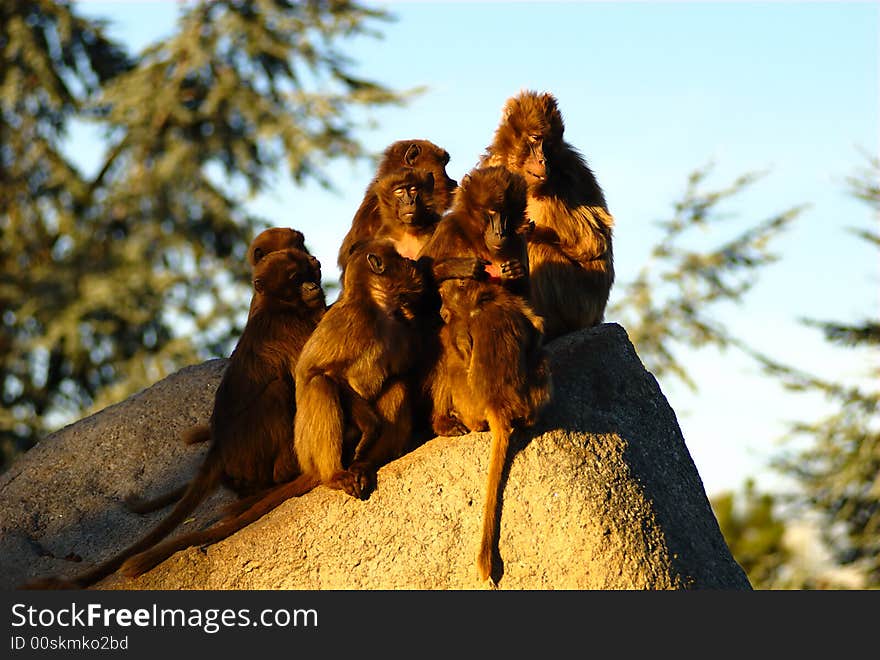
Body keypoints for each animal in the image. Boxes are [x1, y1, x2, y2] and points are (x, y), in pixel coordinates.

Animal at [24, 248, 326, 588]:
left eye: (310, 273)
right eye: (296, 278)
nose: (313, 287)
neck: (282, 307)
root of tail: (219, 452)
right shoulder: (291, 328)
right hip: (254, 456)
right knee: (276, 389)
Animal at [416, 165, 548, 584]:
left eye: (506, 213)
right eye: (490, 213)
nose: (500, 231)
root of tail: (497, 405)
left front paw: (513, 272)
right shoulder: (446, 233)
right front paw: (459, 270)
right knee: (441, 336)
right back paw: (444, 421)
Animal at [478, 89, 616, 340]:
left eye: (548, 144)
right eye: (535, 138)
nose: (543, 160)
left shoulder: (568, 170)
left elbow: (593, 242)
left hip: (582, 303)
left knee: (538, 248)